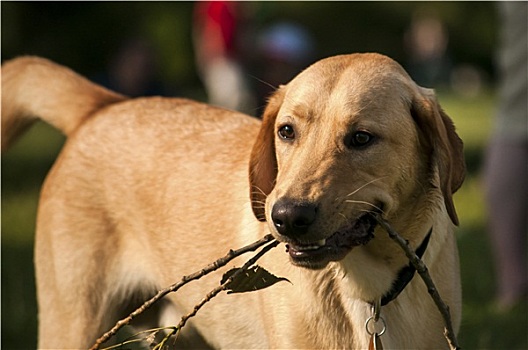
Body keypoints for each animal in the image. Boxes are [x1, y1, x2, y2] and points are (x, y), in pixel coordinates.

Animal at [2, 53, 464, 348]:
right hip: (73, 323)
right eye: (286, 131)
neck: (368, 292)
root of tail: (103, 107)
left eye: (362, 138)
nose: (285, 217)